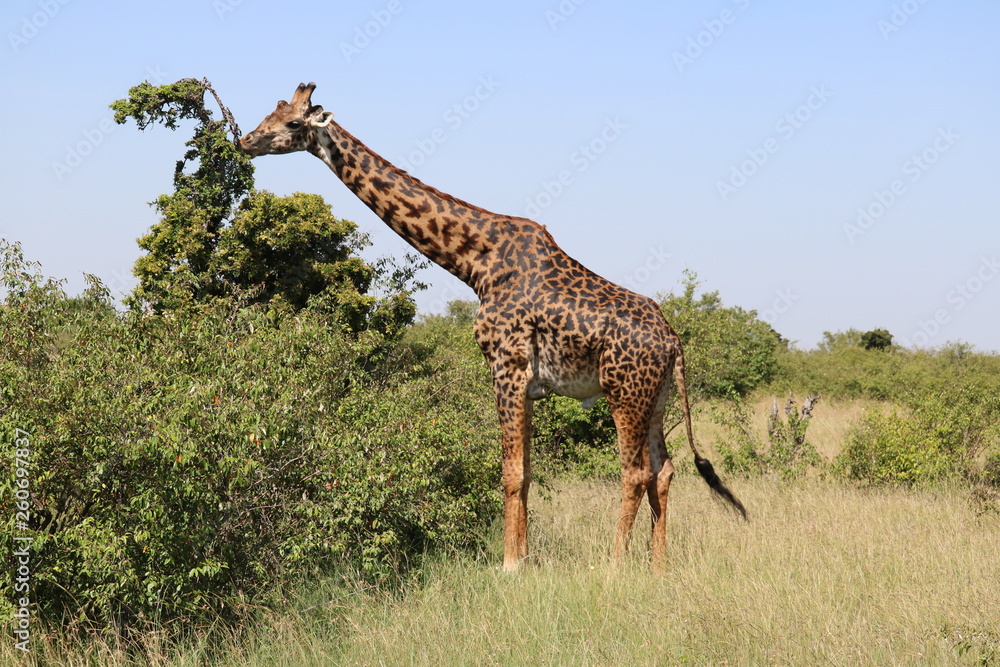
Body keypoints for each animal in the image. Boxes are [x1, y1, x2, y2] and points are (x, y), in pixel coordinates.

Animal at [239, 83, 746, 572]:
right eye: (271, 111)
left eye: (292, 122)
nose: (245, 141)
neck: (474, 261)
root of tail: (673, 341)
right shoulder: (529, 383)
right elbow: (527, 472)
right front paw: (525, 558)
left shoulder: (507, 366)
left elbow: (510, 473)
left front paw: (508, 565)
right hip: (656, 398)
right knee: (664, 471)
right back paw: (657, 568)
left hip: (625, 392)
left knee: (635, 472)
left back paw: (615, 566)